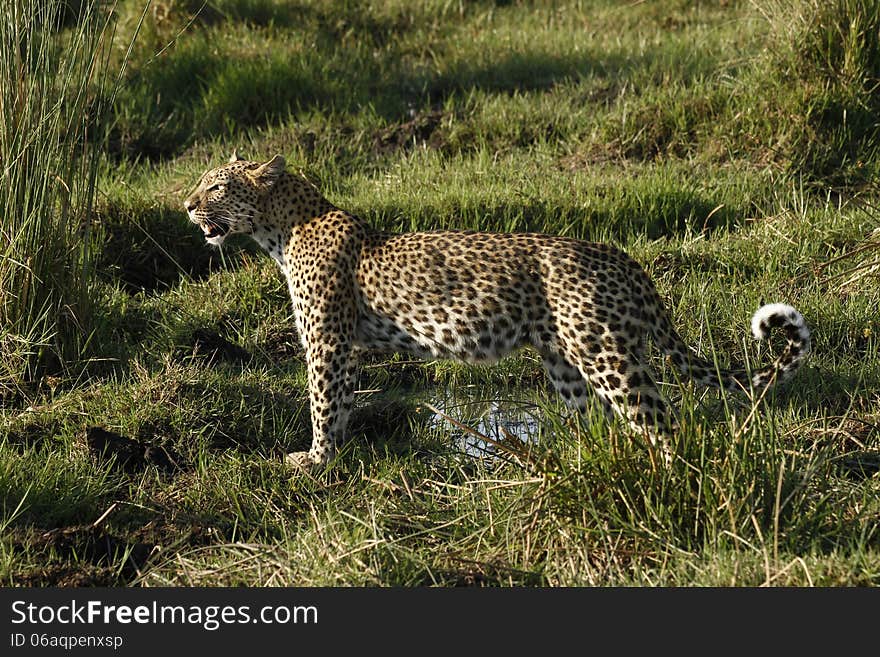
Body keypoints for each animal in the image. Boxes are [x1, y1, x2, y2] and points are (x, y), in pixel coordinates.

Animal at [184, 153, 812, 468]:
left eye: (216, 187)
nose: (186, 205)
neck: (281, 230)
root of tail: (624, 258)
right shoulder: (346, 346)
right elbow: (337, 404)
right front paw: (329, 456)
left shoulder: (328, 343)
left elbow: (322, 402)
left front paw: (313, 461)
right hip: (564, 360)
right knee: (597, 418)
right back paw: (575, 459)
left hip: (604, 352)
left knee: (661, 420)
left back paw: (668, 472)